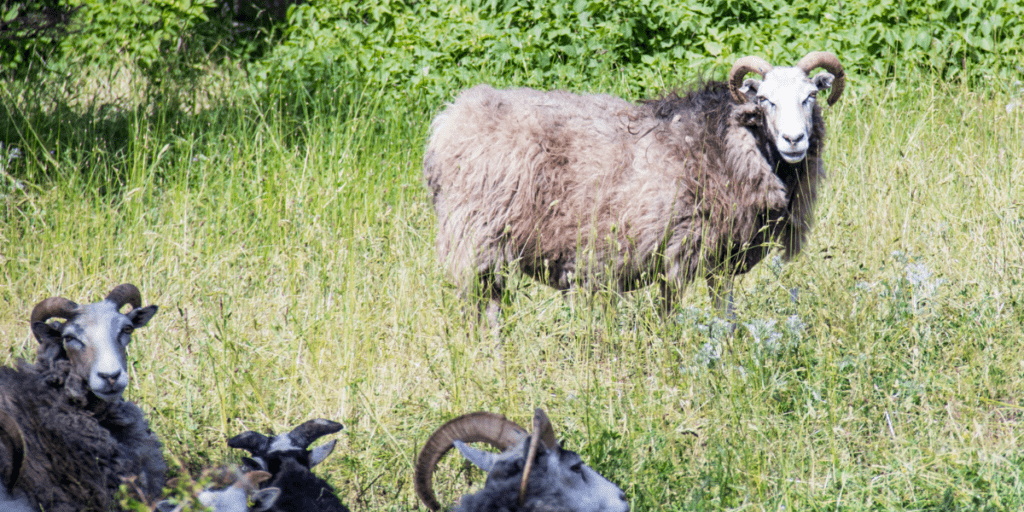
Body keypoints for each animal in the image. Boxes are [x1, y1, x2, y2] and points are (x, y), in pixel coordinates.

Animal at [423, 52, 845, 324]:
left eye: (810, 96)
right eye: (765, 101)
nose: (794, 140)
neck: (725, 141)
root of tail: (450, 119)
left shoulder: (719, 256)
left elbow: (723, 310)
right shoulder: (682, 246)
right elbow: (674, 314)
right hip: (478, 237)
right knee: (485, 308)